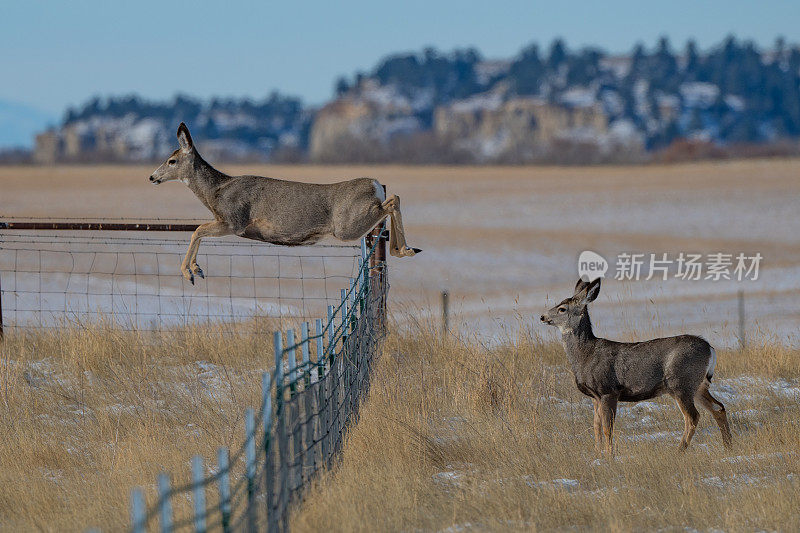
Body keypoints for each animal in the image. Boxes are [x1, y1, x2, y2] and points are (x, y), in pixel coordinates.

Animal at [152, 123, 422, 282]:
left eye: (172, 161)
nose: (152, 177)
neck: (216, 192)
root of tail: (374, 183)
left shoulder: (234, 220)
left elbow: (197, 230)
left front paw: (189, 271)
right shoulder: (227, 222)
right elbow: (199, 231)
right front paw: (197, 269)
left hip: (347, 226)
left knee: (392, 200)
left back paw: (404, 249)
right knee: (393, 200)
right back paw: (404, 249)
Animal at [540, 276, 736, 456]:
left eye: (562, 308)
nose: (542, 316)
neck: (585, 355)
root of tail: (710, 348)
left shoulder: (608, 390)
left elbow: (607, 428)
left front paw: (609, 455)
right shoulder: (595, 396)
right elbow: (596, 427)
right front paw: (598, 453)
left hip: (680, 383)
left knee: (693, 417)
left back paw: (679, 450)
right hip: (698, 385)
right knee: (719, 408)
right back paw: (727, 447)